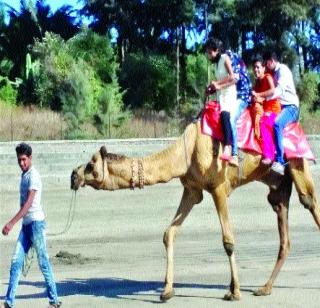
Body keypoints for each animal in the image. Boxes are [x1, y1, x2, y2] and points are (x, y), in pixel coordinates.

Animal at [70, 119, 320, 300]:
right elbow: (169, 233)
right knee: (280, 191)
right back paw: (265, 287)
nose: (74, 175)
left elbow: (228, 241)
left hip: (296, 159)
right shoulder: (192, 190)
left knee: (309, 200)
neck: (185, 153)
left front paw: (235, 292)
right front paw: (167, 291)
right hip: (264, 171)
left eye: (91, 165)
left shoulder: (218, 188)